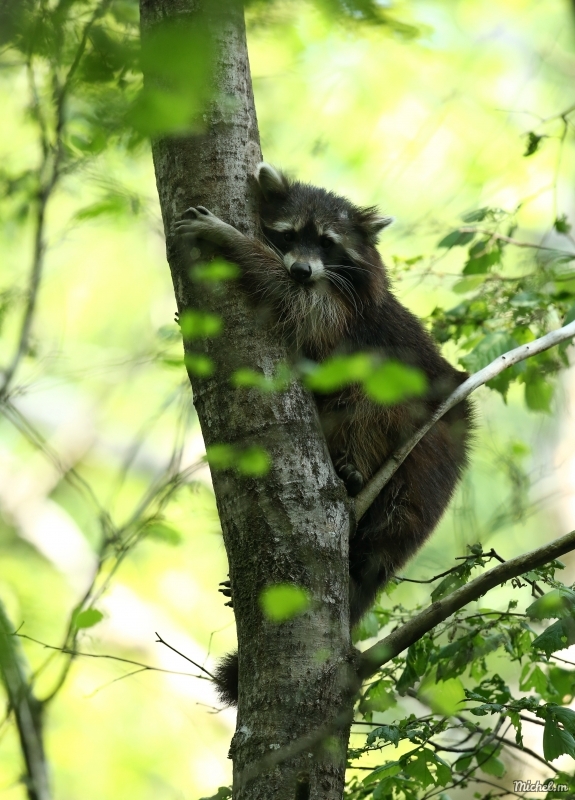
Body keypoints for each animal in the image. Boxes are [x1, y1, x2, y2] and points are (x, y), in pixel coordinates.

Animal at [176, 164, 472, 708]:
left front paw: (233, 243)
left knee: (369, 406)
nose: (301, 269)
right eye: (289, 234)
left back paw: (354, 470)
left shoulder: (346, 311)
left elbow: (304, 309)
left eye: (329, 243)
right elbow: (299, 304)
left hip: (422, 441)